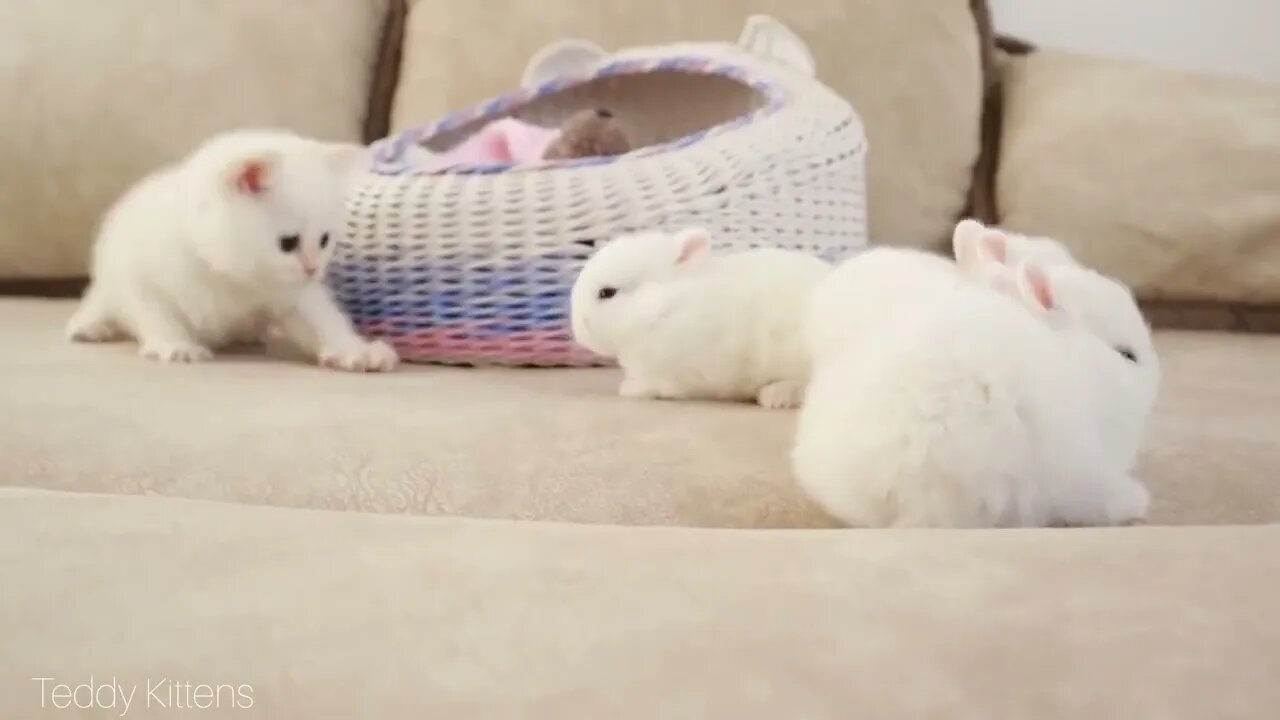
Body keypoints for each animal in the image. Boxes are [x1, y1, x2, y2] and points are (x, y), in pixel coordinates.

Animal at [63, 128, 394, 368]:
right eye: (288, 243)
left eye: (325, 240)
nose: (313, 269)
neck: (228, 274)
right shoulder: (139, 280)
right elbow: (158, 315)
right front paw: (176, 346)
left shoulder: (292, 293)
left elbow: (323, 320)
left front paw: (356, 351)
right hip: (110, 277)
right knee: (100, 300)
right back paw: (87, 326)